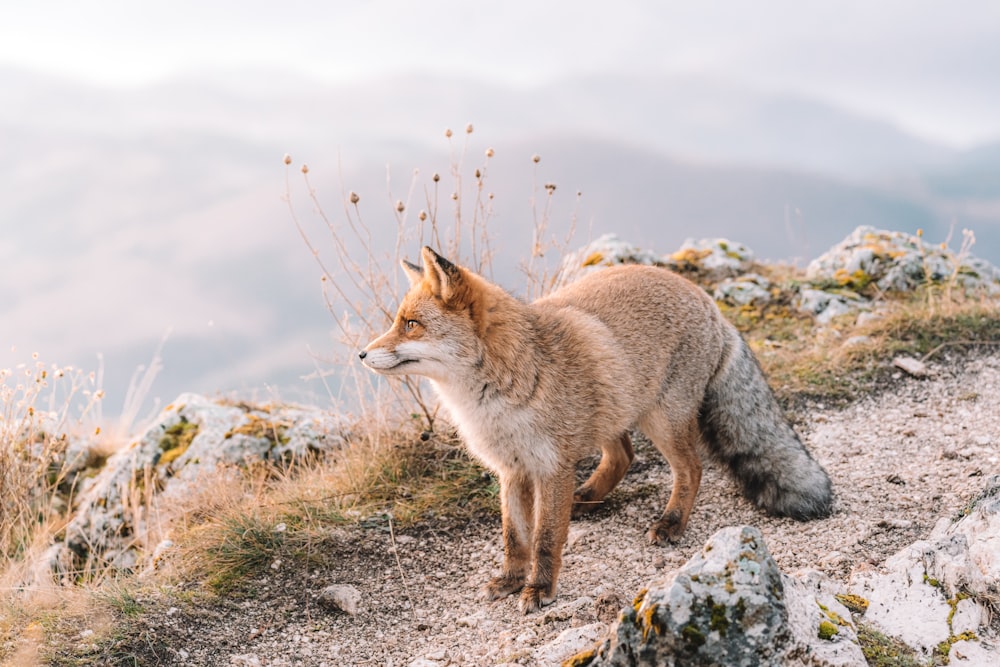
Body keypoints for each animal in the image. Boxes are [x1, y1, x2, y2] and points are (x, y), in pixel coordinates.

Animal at [362, 248, 836, 612]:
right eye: (397, 321)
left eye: (410, 324)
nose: (362, 354)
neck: (495, 398)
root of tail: (706, 299)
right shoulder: (512, 470)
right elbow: (515, 538)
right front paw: (511, 580)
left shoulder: (551, 467)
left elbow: (546, 539)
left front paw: (539, 589)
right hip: (614, 408)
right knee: (624, 454)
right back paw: (587, 497)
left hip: (660, 420)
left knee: (691, 468)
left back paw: (671, 523)